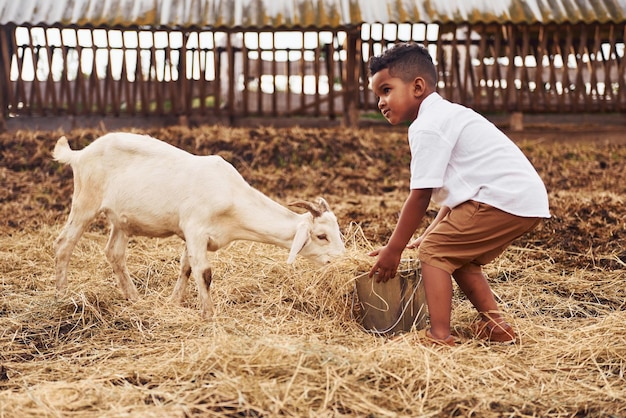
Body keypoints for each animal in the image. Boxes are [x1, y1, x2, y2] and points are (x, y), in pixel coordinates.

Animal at [52, 133, 346, 316]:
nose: (342, 261)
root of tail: (79, 154)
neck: (231, 198)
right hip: (85, 201)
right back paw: (62, 294)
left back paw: (133, 298)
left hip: (121, 220)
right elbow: (204, 272)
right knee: (64, 244)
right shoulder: (195, 229)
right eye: (322, 236)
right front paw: (209, 314)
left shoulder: (192, 236)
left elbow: (186, 267)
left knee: (114, 253)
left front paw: (174, 302)